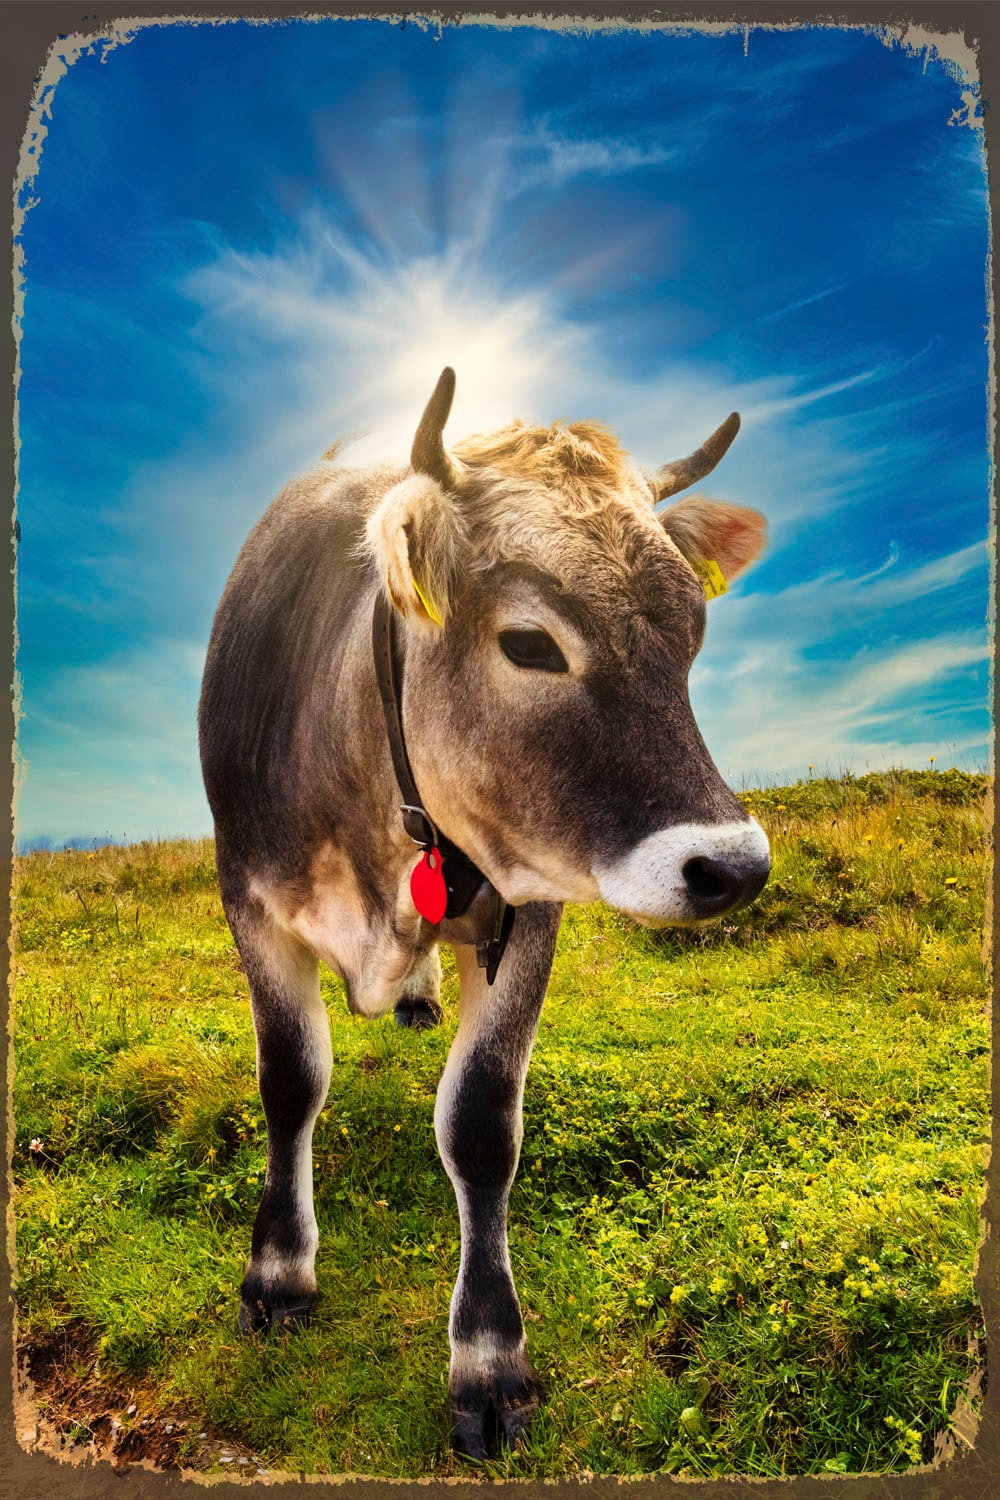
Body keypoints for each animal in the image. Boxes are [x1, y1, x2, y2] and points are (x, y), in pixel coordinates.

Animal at [198, 367, 770, 1460]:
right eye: (529, 643)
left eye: (691, 633)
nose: (732, 866)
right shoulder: (249, 895)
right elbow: (291, 1082)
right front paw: (279, 1272)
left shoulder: (528, 909)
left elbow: (480, 1124)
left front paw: (490, 1360)